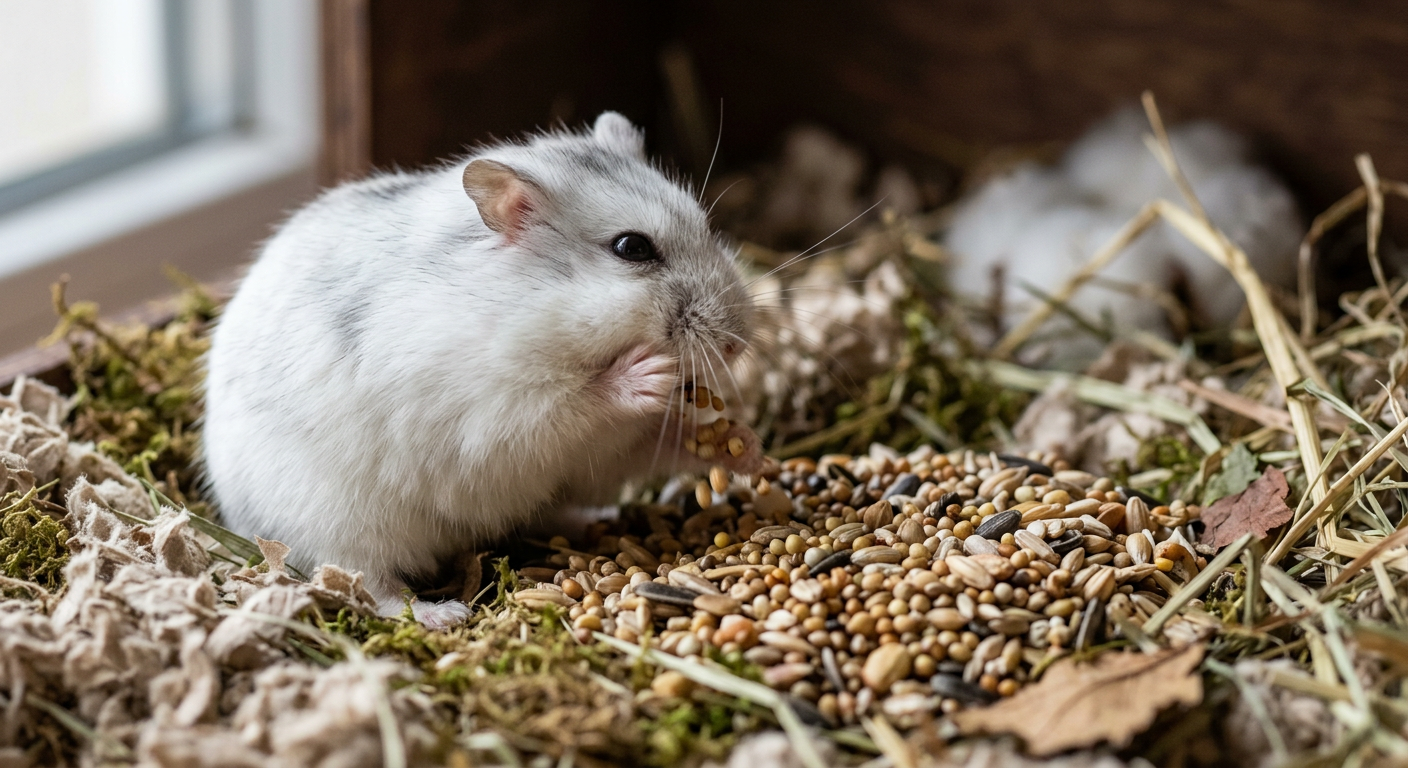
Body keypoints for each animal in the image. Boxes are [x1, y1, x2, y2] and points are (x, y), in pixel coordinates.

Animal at [202, 112, 763, 628]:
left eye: (706, 228)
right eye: (632, 248)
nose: (737, 344)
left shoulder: (598, 451)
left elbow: (651, 446)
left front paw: (746, 447)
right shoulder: (490, 412)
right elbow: (573, 402)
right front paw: (648, 374)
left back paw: (597, 519)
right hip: (341, 524)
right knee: (368, 586)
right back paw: (443, 614)